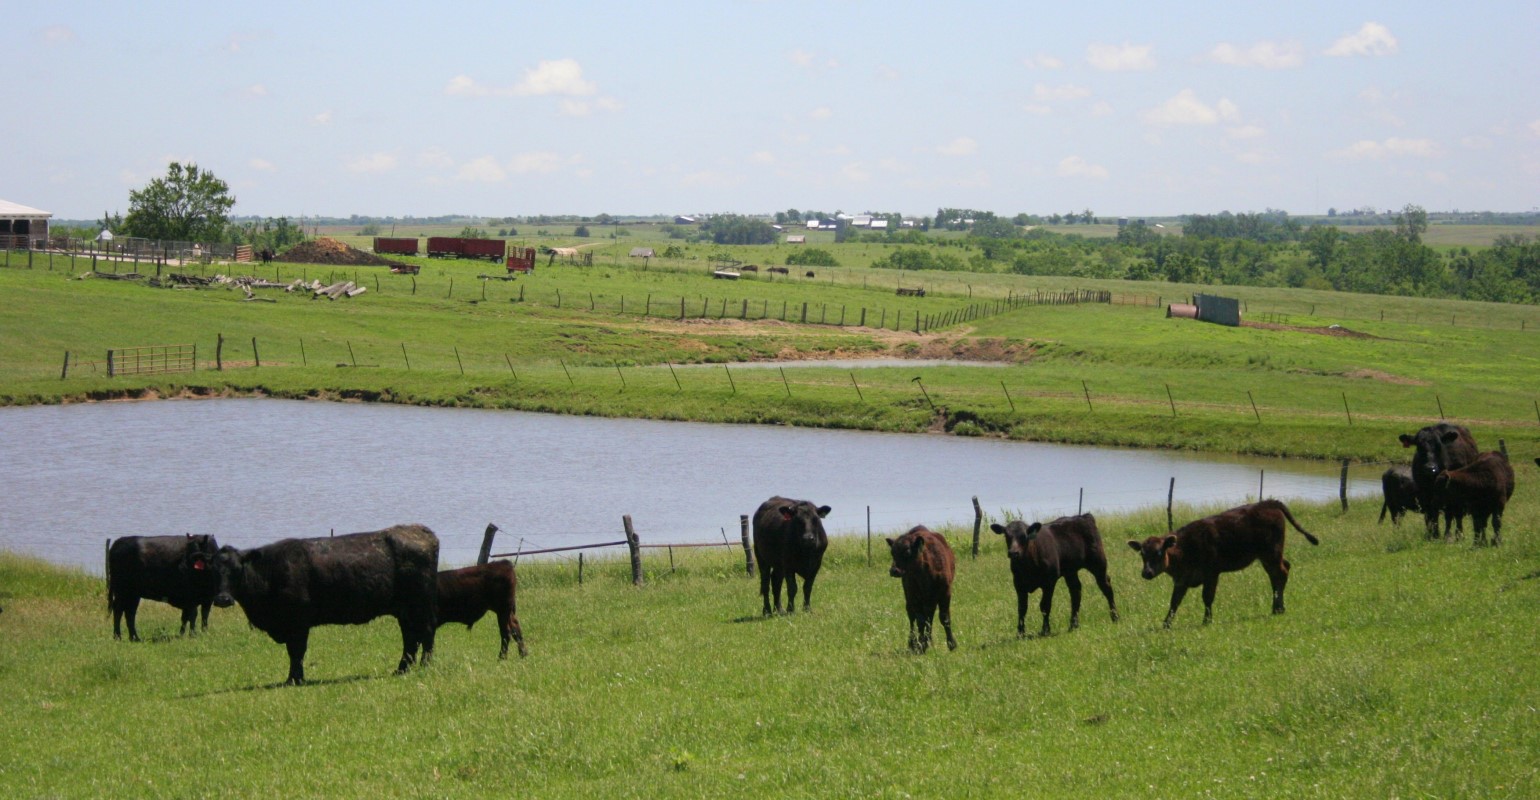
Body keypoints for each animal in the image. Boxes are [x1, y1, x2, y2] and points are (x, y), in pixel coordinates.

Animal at [214, 524, 440, 684]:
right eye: (213, 570)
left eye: (237, 570)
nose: (223, 598)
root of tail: (420, 530)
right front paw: (295, 678)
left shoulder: (298, 623)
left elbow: (296, 651)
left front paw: (295, 679)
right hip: (405, 610)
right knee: (410, 637)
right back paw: (401, 669)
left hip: (420, 604)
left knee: (426, 632)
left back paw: (425, 666)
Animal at [1127, 499, 1318, 625]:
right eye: (1142, 554)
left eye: (1159, 552)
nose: (1146, 572)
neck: (1185, 550)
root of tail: (1268, 503)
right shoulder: (1181, 580)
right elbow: (1174, 602)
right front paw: (1166, 624)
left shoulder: (1211, 573)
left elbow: (1207, 597)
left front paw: (1206, 621)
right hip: (1267, 556)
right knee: (1279, 572)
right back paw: (1276, 607)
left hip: (1272, 553)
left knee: (1281, 573)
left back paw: (1279, 608)